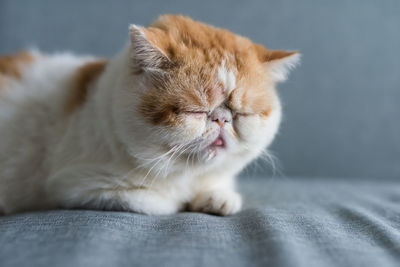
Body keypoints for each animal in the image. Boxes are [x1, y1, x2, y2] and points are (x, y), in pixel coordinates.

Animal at [0, 14, 300, 217]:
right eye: (196, 111)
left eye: (241, 114)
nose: (221, 118)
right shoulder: (80, 186)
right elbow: (158, 202)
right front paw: (184, 200)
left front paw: (217, 197)